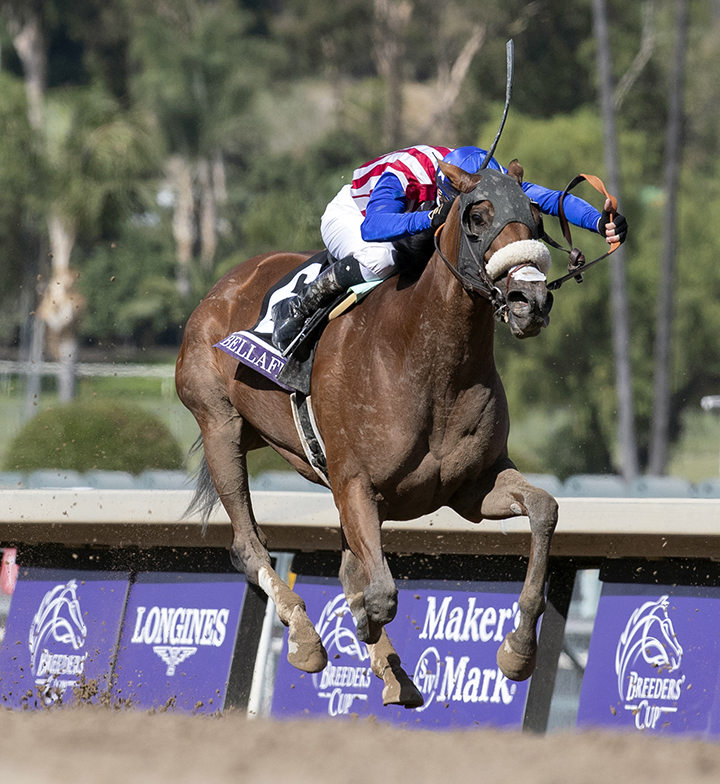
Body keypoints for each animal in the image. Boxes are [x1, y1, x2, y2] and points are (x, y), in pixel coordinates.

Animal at [176, 159, 559, 707]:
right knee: (249, 548)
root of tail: (223, 283)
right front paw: (356, 627)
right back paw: (306, 639)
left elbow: (544, 509)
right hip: (220, 426)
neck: (427, 360)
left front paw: (518, 650)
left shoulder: (471, 487)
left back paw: (393, 674)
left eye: (536, 218)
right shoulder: (356, 483)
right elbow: (378, 594)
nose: (531, 299)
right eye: (477, 216)